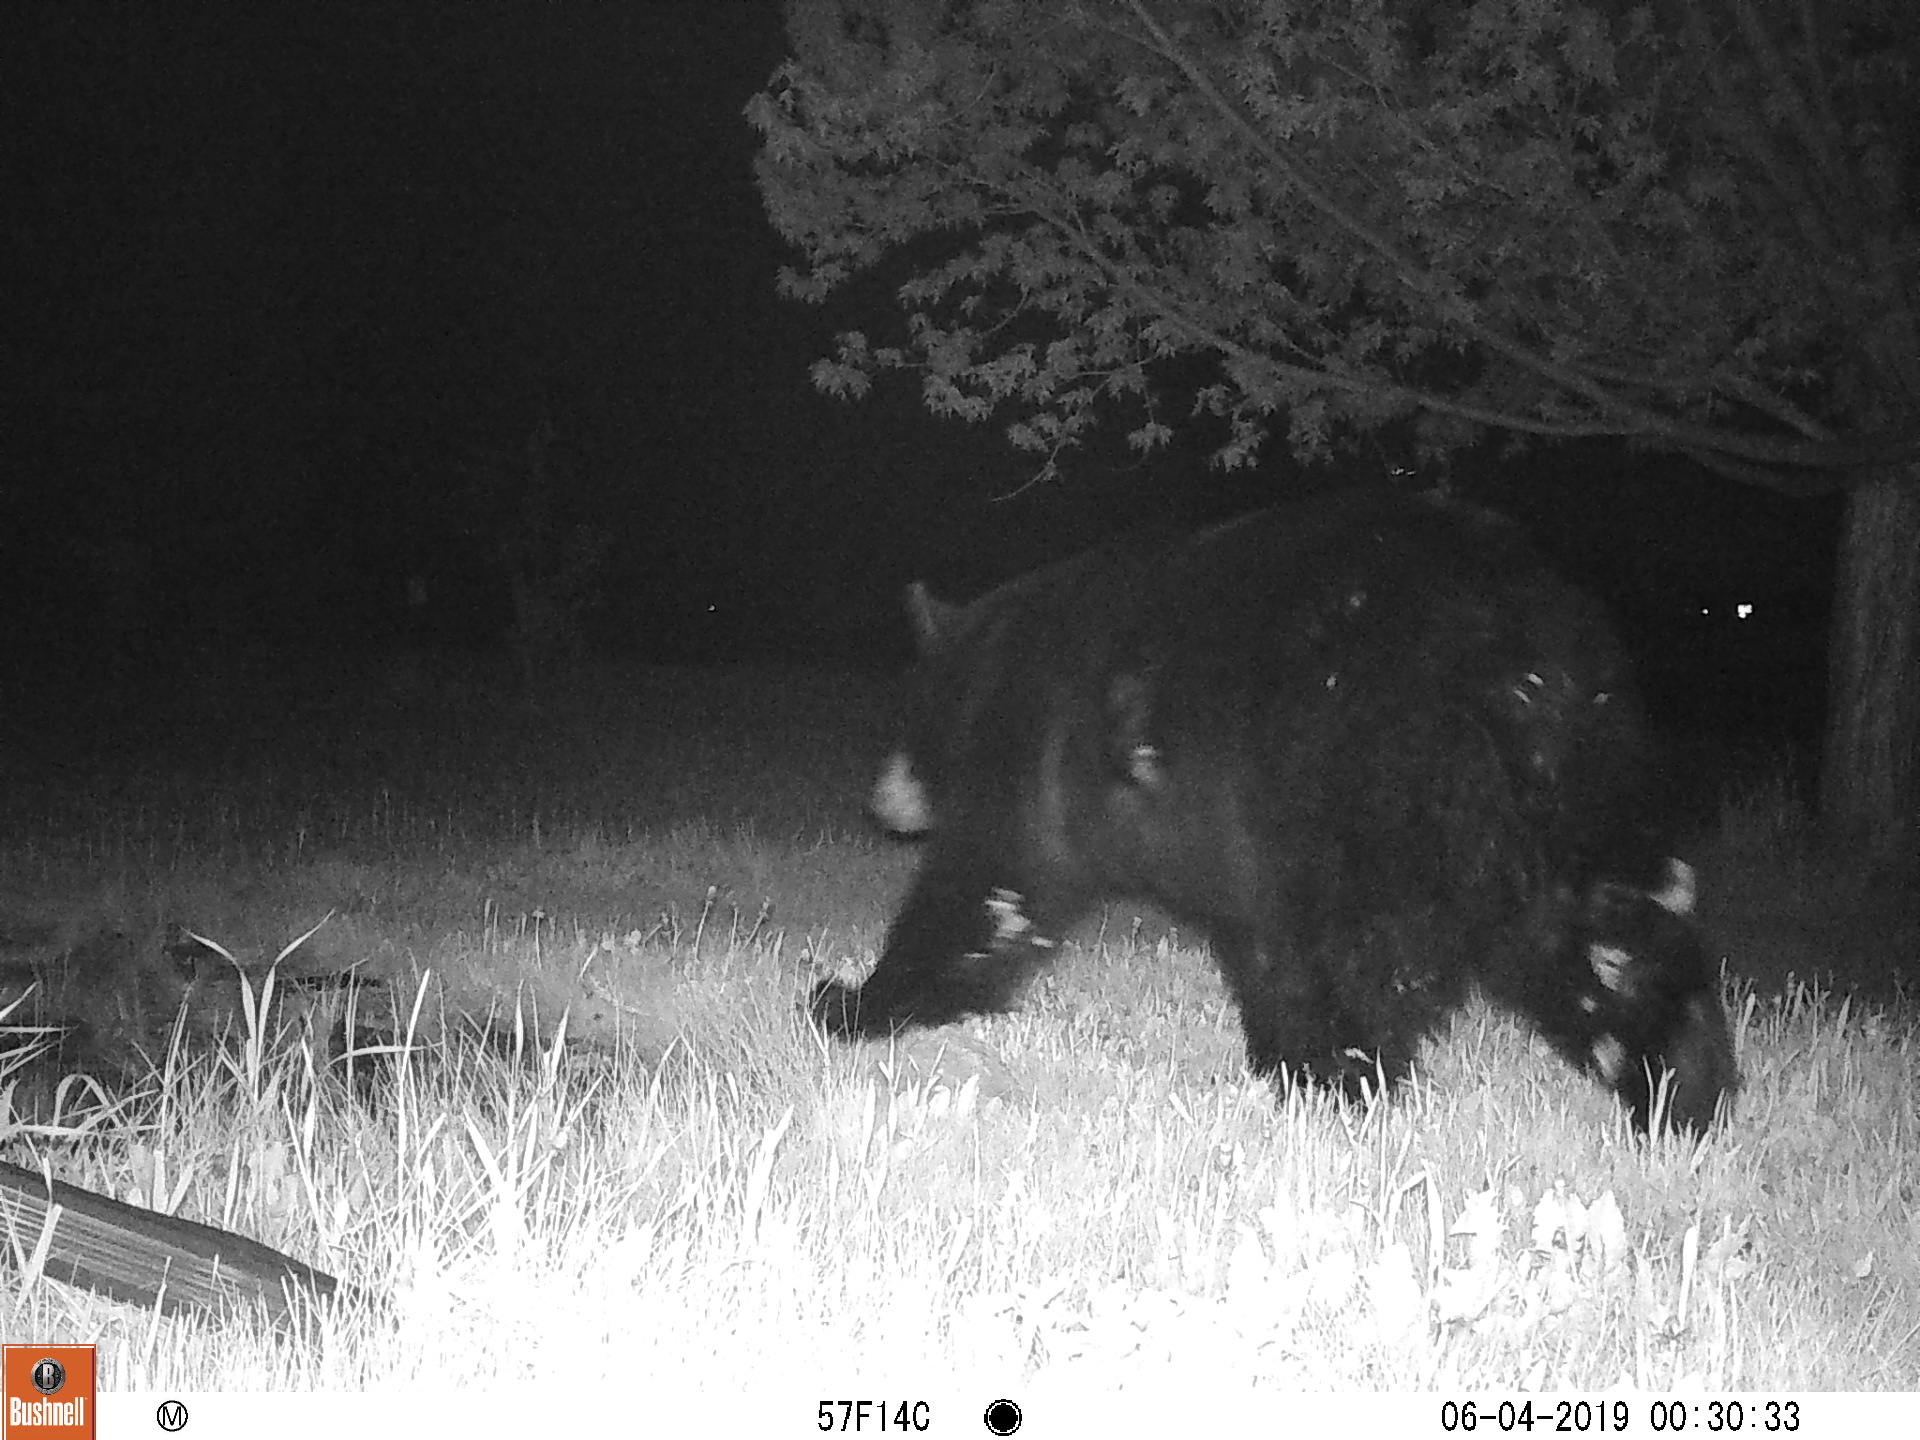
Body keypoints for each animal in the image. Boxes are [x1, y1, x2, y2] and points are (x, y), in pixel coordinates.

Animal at [814, 489, 1738, 1135]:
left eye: (903, 714)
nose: (879, 800)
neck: (994, 666)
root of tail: (1528, 665)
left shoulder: (1037, 766)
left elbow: (988, 890)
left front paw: (854, 1003)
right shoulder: (1232, 841)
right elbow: (1256, 945)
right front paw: (1277, 1056)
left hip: (1374, 785)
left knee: (1370, 950)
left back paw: (1350, 1078)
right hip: (1582, 792)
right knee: (1605, 937)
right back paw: (1680, 1092)